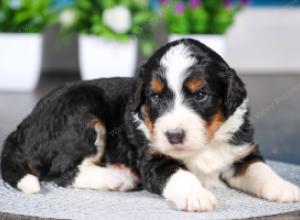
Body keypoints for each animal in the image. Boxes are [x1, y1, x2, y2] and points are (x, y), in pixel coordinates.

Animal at [1, 39, 298, 211]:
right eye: (155, 96)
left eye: (201, 95)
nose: (174, 135)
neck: (204, 144)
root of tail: (21, 127)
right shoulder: (153, 159)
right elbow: (179, 174)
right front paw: (196, 196)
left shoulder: (240, 152)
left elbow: (260, 170)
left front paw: (284, 188)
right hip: (82, 107)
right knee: (62, 172)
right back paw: (117, 178)